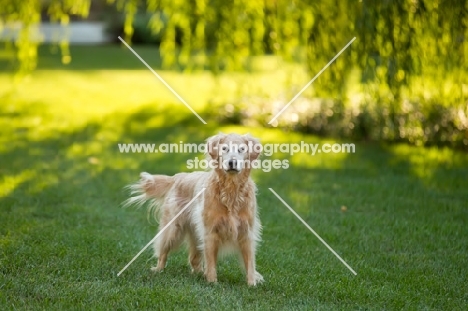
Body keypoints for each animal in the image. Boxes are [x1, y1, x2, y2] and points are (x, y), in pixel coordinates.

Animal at [124, 133, 264, 286]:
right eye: (224, 149)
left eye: (242, 149)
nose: (232, 163)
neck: (231, 191)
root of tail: (178, 177)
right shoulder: (210, 232)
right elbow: (211, 262)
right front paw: (212, 283)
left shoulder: (246, 232)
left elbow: (250, 262)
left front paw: (252, 284)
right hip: (173, 230)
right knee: (163, 252)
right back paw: (158, 270)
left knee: (194, 259)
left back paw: (199, 274)